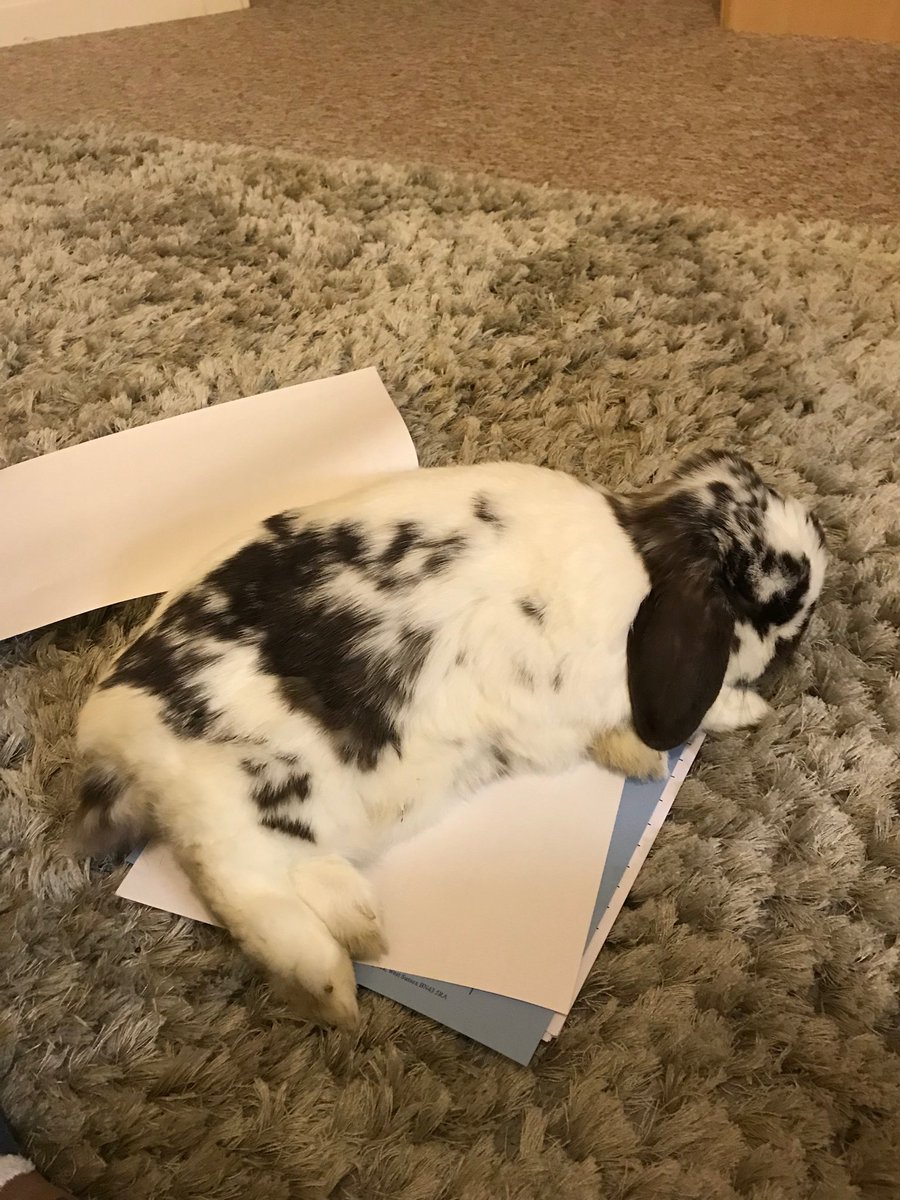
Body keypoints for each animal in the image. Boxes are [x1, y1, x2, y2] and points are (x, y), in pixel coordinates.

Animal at [73, 450, 826, 1028]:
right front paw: (741, 711)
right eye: (776, 597)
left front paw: (639, 757)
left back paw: (360, 922)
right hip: (251, 794)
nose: (803, 636)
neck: (647, 556)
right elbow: (682, 709)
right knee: (244, 890)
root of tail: (113, 741)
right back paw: (334, 990)